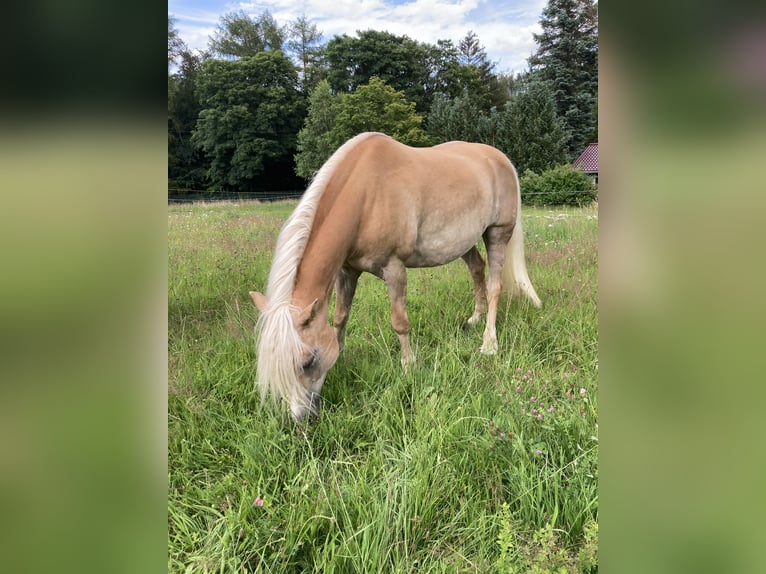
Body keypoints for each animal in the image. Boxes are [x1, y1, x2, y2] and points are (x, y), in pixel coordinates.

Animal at [250, 132, 540, 424]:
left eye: (308, 361)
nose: (302, 419)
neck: (366, 197)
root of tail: (501, 159)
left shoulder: (394, 269)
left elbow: (400, 322)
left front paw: (409, 366)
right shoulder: (347, 271)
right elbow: (341, 316)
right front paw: (341, 356)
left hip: (497, 233)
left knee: (494, 286)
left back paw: (489, 343)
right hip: (464, 241)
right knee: (477, 270)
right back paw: (474, 319)